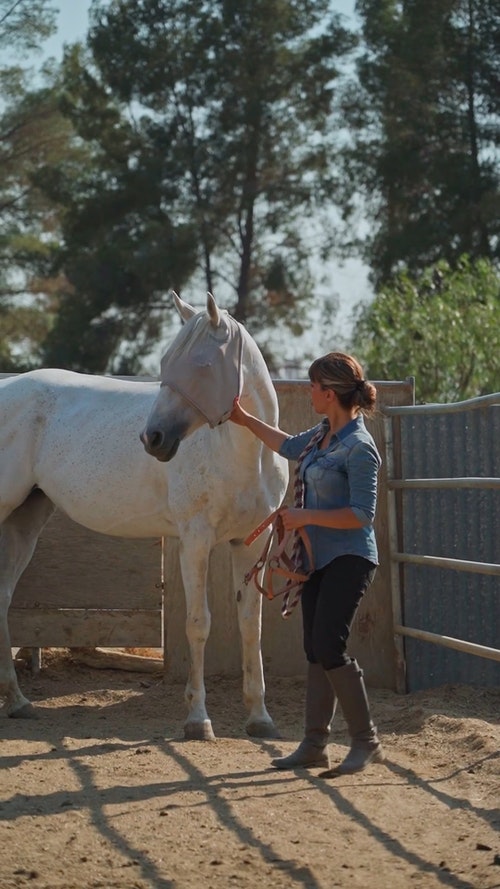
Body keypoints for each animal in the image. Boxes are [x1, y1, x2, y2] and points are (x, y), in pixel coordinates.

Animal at [0, 294, 290, 740]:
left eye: (202, 364)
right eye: (166, 361)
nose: (153, 438)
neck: (243, 455)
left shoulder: (250, 542)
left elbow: (249, 626)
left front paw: (260, 718)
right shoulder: (196, 541)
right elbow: (198, 624)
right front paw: (197, 720)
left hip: (25, 520)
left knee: (2, 598)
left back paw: (18, 702)